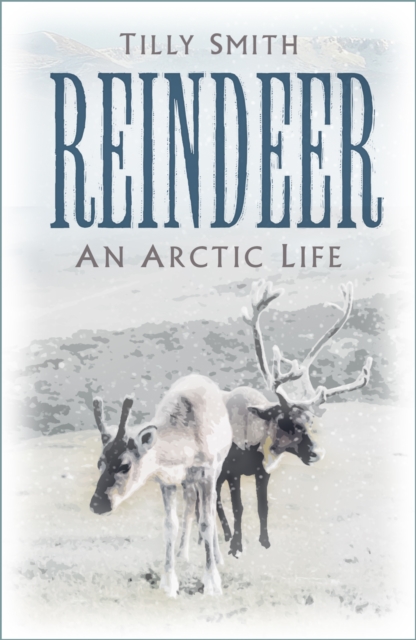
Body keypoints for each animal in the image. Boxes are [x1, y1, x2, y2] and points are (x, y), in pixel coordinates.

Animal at [89, 374, 232, 597]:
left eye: (125, 465)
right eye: (99, 463)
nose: (97, 504)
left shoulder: (207, 472)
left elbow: (206, 522)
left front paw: (212, 582)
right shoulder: (167, 481)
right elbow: (169, 525)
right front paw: (169, 583)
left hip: (216, 468)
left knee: (210, 505)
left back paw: (217, 557)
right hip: (188, 481)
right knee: (190, 501)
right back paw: (182, 554)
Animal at [216, 279, 373, 557]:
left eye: (310, 421)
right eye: (285, 421)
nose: (317, 453)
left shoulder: (263, 472)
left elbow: (263, 507)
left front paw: (265, 542)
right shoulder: (233, 471)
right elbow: (239, 508)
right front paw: (236, 547)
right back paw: (221, 535)